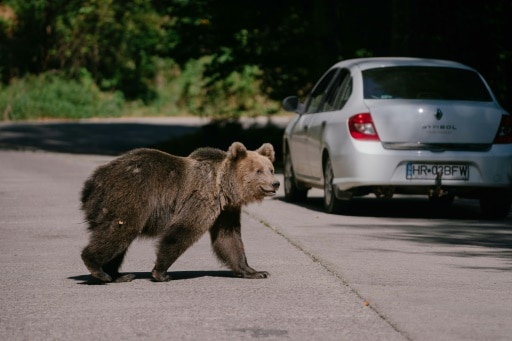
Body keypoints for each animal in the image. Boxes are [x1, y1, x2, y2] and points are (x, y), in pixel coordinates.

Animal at [80, 141, 280, 282]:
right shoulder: (202, 198)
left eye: (271, 169)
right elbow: (184, 230)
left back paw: (118, 275)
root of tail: (94, 180)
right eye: (259, 171)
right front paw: (161, 273)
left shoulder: (226, 211)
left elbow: (228, 238)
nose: (276, 183)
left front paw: (255, 271)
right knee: (120, 231)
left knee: (120, 238)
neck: (223, 188)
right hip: (130, 195)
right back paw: (98, 269)